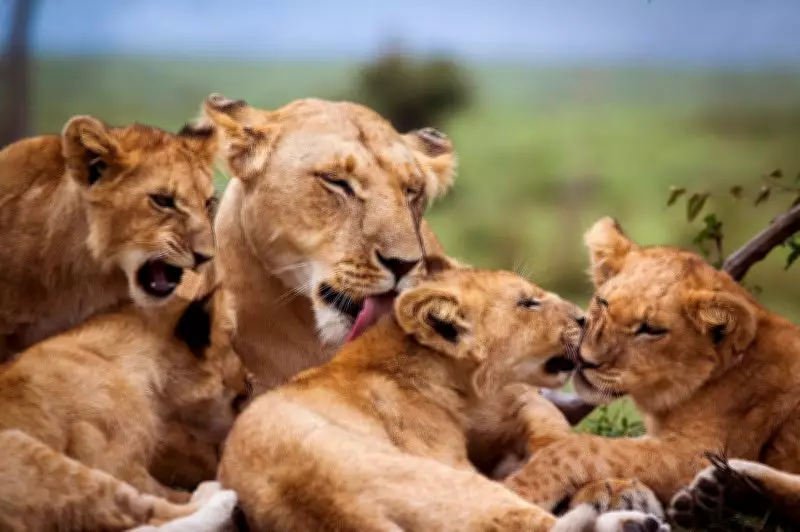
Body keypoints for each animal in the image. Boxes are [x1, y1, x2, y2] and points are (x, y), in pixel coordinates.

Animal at [0, 287, 249, 531]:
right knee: (149, 514)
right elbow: (162, 497)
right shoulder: (114, 463)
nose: (251, 382)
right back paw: (218, 496)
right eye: (242, 396)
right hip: (32, 451)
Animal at [501, 216, 800, 527]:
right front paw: (621, 493)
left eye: (651, 330)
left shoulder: (699, 452)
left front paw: (520, 489)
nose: (585, 359)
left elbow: (582, 448)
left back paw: (726, 489)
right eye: (603, 303)